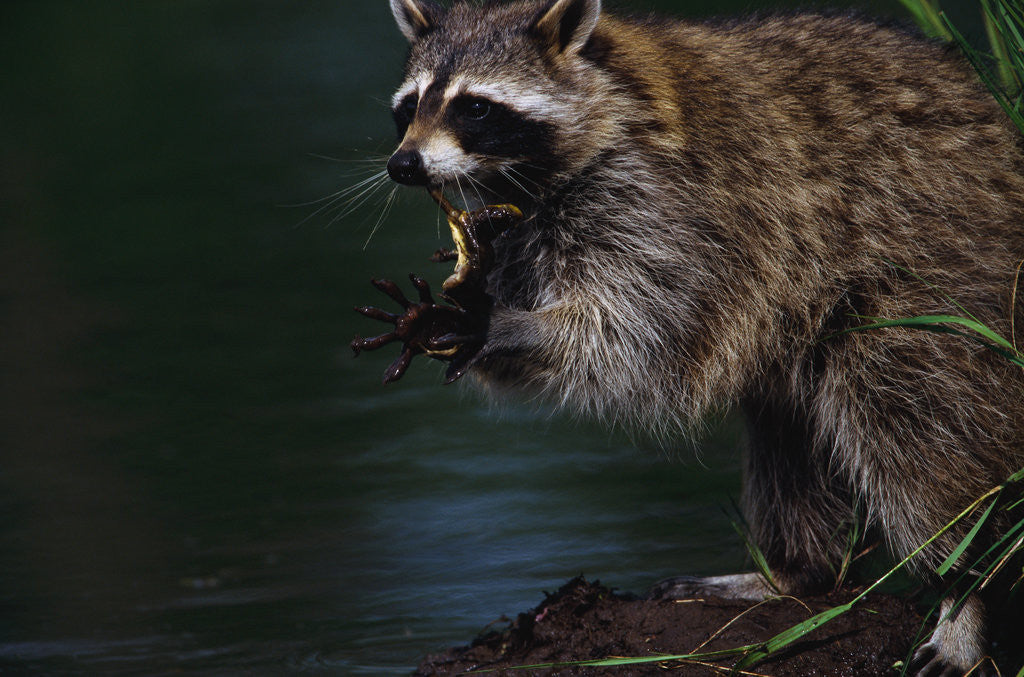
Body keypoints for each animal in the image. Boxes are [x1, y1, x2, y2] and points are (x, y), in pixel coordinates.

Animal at [376, 0, 1024, 672]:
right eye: (410, 105)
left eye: (473, 107)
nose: (403, 164)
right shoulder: (524, 223)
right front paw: (470, 312)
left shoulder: (669, 204)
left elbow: (635, 329)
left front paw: (505, 324)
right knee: (785, 432)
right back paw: (797, 571)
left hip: (942, 281)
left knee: (910, 417)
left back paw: (967, 590)